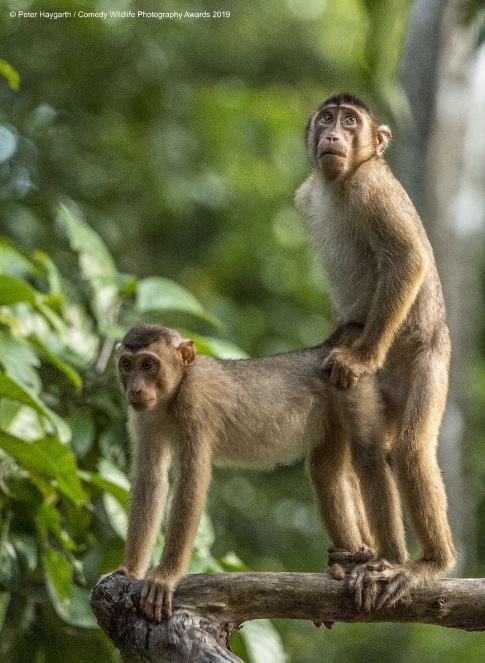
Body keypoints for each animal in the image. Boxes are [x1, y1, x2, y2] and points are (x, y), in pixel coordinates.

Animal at [111, 322, 402, 624]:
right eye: (127, 365)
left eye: (148, 364)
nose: (135, 388)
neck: (175, 390)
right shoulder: (145, 415)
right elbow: (150, 480)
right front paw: (129, 570)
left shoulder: (195, 403)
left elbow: (192, 481)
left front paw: (166, 577)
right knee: (327, 472)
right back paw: (352, 560)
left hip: (355, 387)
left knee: (369, 458)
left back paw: (384, 562)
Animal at [294, 93, 456, 612]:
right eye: (328, 118)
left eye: (351, 121)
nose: (334, 135)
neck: (339, 185)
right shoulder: (306, 196)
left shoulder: (372, 189)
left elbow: (407, 258)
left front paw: (362, 356)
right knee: (356, 456)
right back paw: (361, 556)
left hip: (429, 362)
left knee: (407, 450)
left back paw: (426, 564)